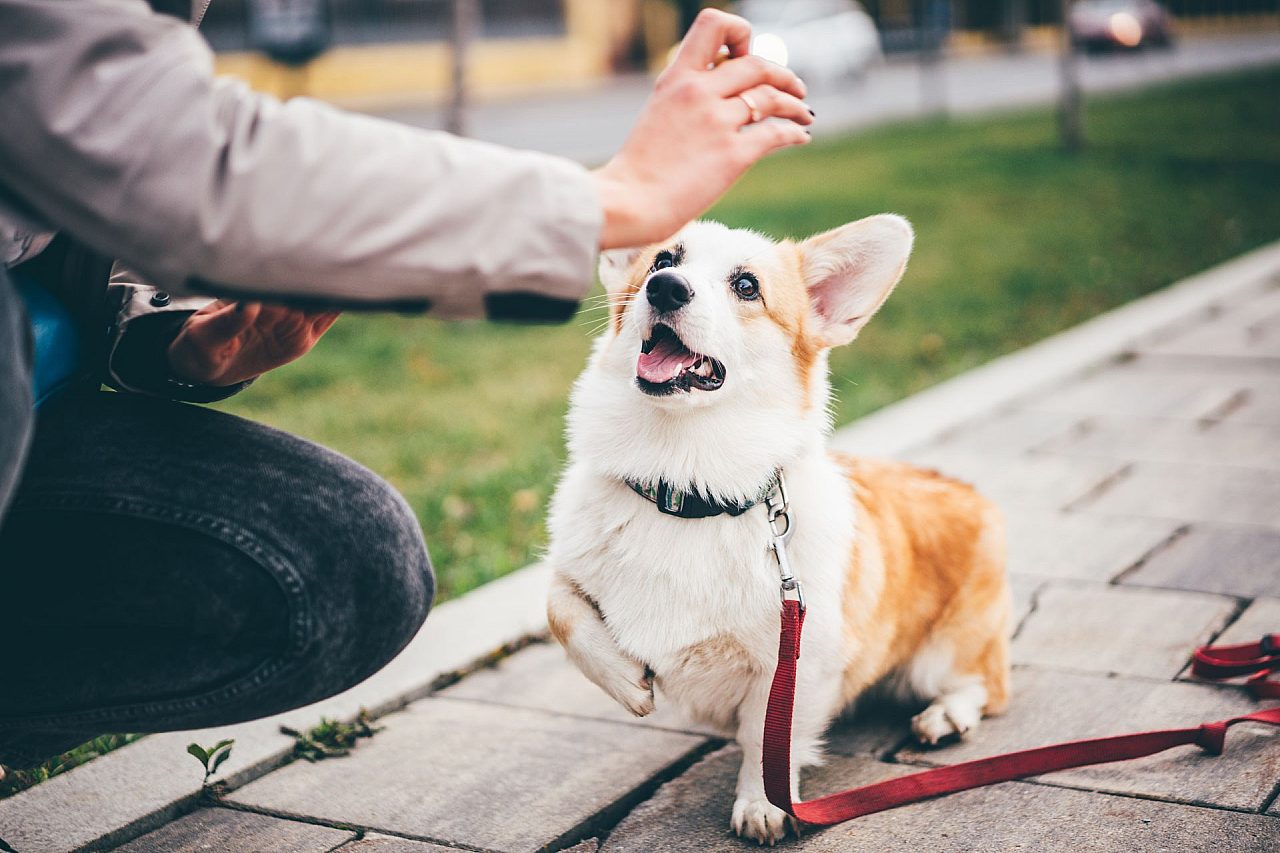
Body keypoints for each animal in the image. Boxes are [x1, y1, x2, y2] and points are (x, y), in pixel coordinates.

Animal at [545, 216, 1013, 840]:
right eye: (663, 260)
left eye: (746, 286)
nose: (664, 287)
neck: (685, 485)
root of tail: (965, 487)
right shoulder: (569, 567)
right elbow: (561, 607)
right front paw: (625, 681)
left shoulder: (796, 662)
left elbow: (767, 739)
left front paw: (763, 805)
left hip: (942, 655)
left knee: (987, 684)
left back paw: (943, 717)